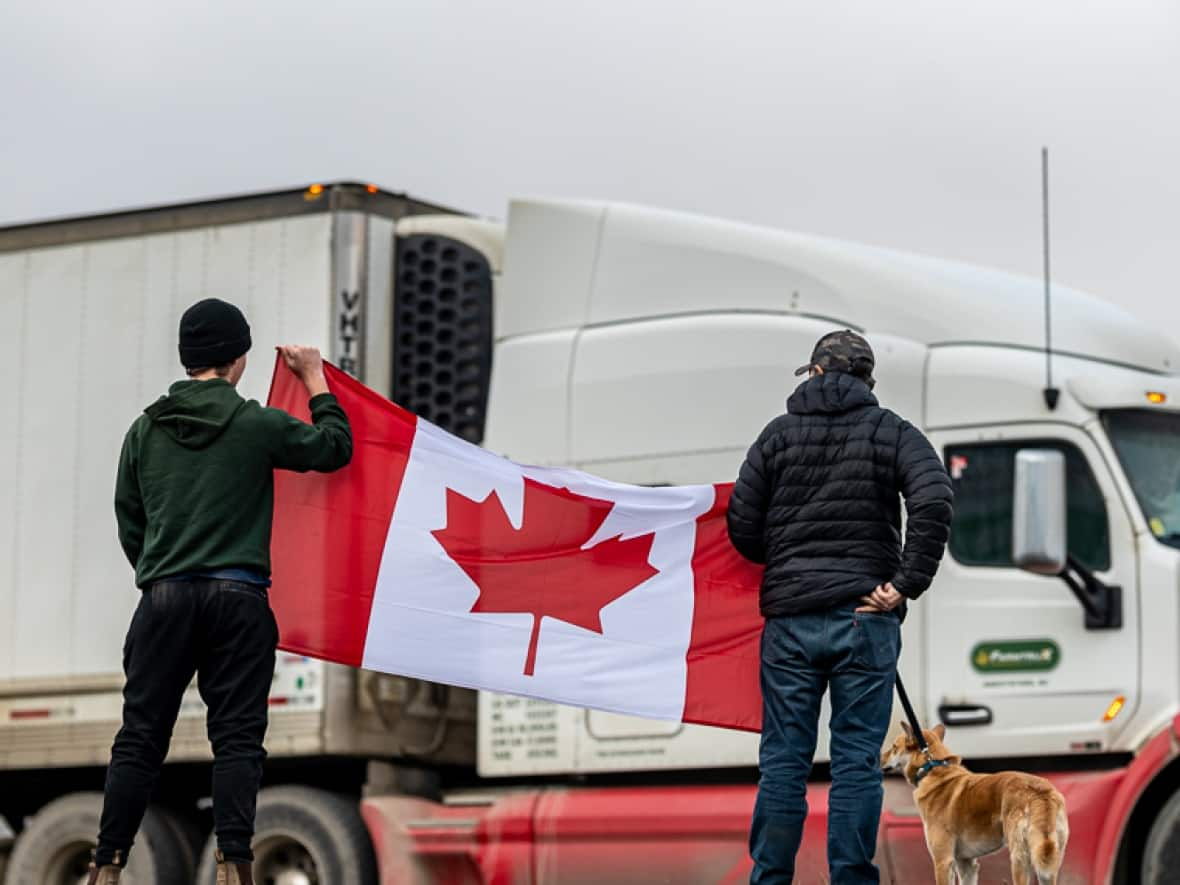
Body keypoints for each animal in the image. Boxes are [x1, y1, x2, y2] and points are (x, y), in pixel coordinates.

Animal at [887, 726, 1071, 885]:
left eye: (894, 747)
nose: (881, 758)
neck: (932, 767)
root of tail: (1039, 791)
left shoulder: (943, 862)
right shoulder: (966, 864)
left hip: (1020, 861)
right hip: (1048, 866)